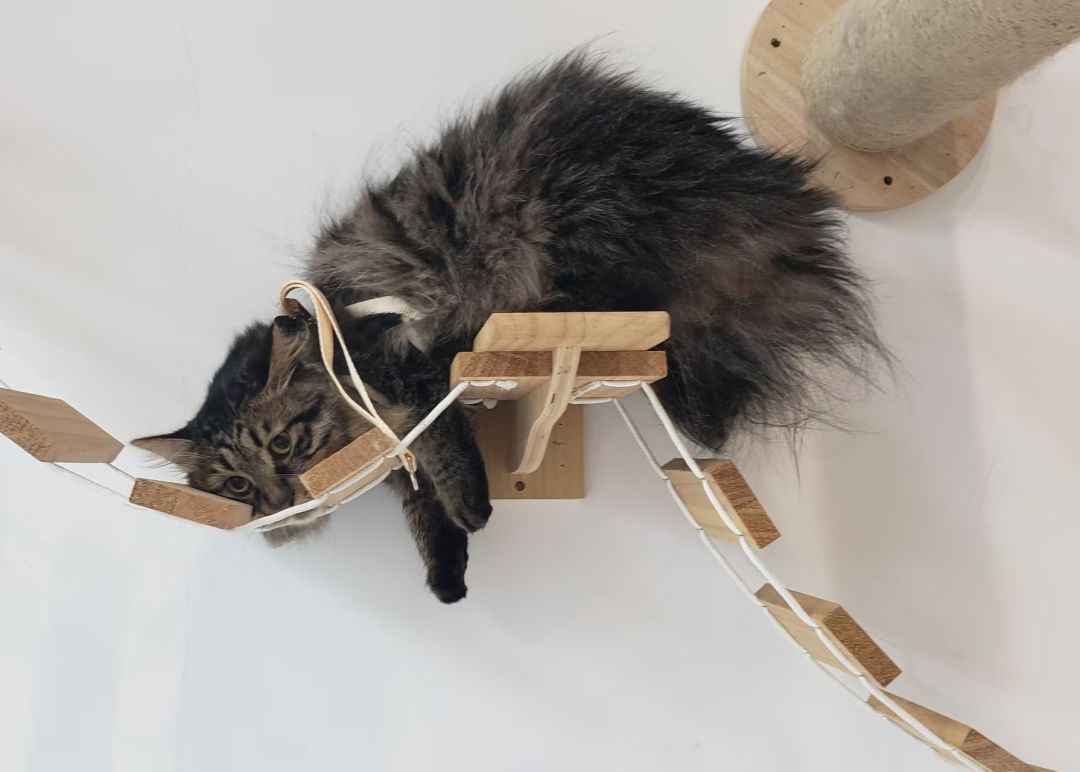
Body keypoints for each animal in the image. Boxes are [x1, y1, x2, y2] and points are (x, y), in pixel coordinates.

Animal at [134, 52, 883, 603]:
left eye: (283, 444)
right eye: (234, 486)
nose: (275, 497)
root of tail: (763, 187)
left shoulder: (408, 364)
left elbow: (443, 453)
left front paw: (473, 510)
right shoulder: (400, 442)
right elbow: (424, 512)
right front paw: (448, 579)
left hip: (571, 227)